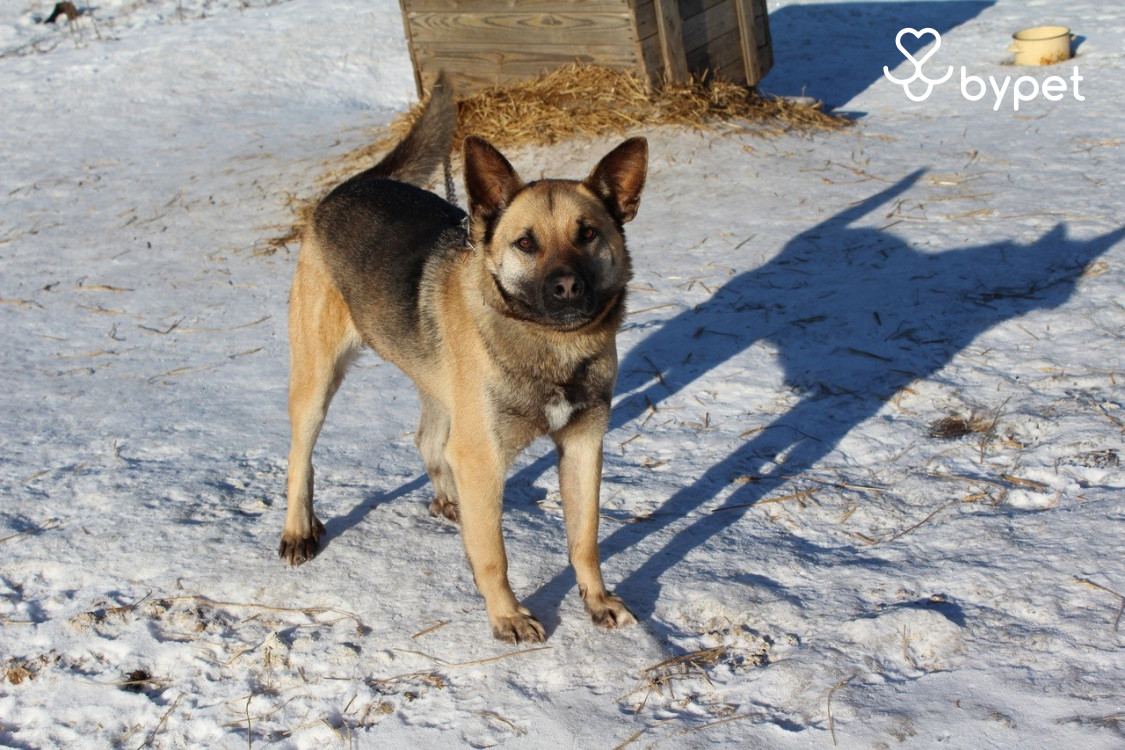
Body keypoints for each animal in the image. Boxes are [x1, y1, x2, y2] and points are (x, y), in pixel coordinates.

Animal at [279, 76, 652, 643]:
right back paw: (299, 529)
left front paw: (597, 600)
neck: (551, 347)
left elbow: (584, 538)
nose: (568, 286)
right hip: (317, 381)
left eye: (588, 233)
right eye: (526, 243)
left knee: (428, 440)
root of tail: (354, 184)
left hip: (438, 385)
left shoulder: (584, 445)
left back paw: (448, 496)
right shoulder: (484, 458)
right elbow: (494, 554)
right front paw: (507, 615)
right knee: (301, 457)